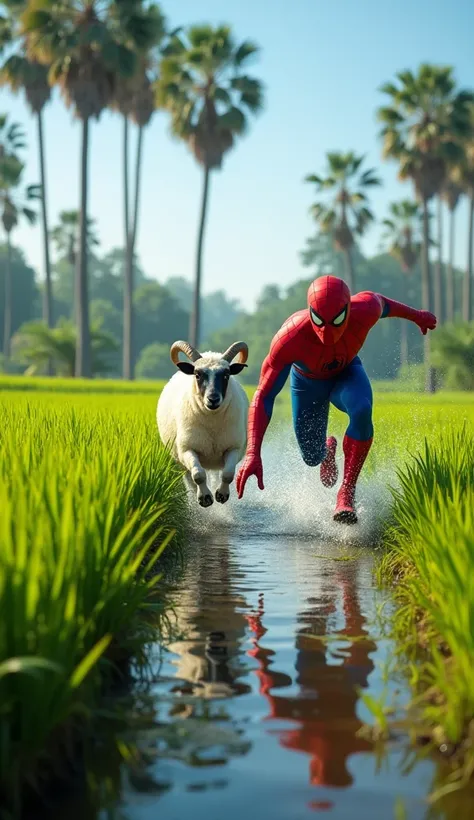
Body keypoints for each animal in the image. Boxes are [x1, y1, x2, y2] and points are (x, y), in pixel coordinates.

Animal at [157, 340, 250, 506]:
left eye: (226, 375)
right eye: (197, 374)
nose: (213, 399)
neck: (211, 421)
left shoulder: (234, 448)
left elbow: (228, 474)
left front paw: (221, 495)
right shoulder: (187, 449)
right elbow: (198, 475)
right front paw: (205, 498)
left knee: (216, 475)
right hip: (180, 461)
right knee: (190, 479)